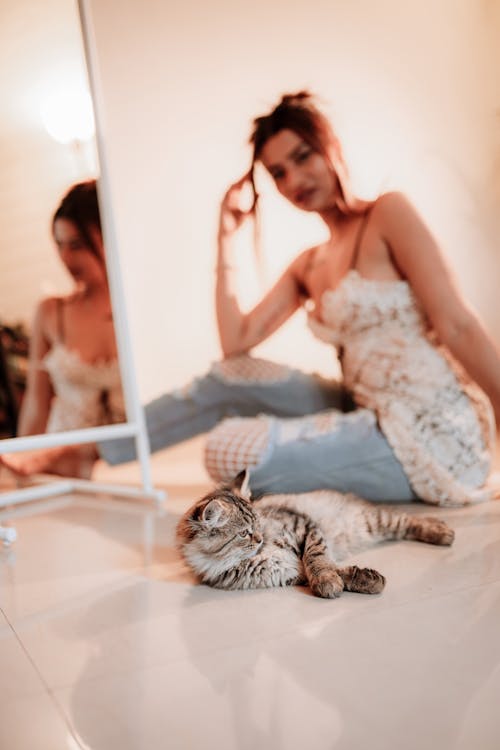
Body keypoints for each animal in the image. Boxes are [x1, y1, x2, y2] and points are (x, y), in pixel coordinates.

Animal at [178, 472, 456, 604]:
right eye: (245, 533)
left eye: (258, 523)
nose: (260, 539)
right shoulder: (287, 571)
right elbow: (335, 570)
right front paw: (363, 581)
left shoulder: (304, 527)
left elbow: (317, 559)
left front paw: (327, 581)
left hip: (375, 520)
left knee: (408, 519)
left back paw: (443, 531)